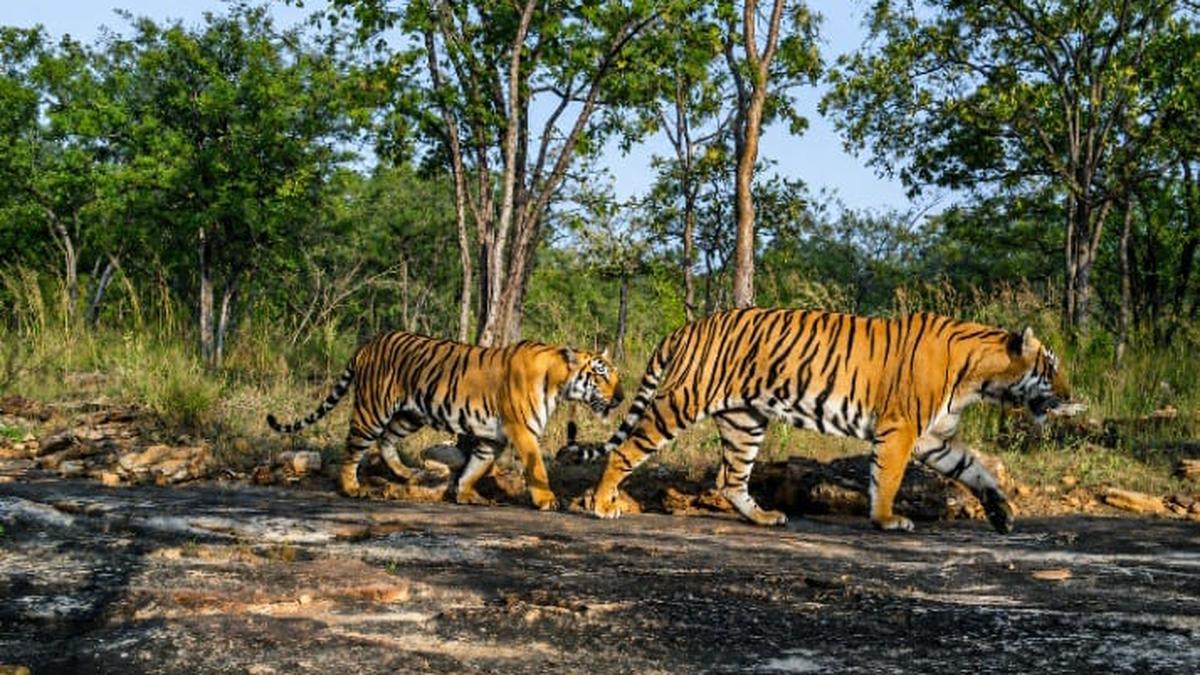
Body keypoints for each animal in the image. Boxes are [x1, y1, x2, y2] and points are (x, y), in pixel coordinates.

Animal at [267, 331, 624, 510]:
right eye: (601, 374)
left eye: (616, 374)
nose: (620, 398)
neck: (559, 382)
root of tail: (367, 345)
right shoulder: (522, 430)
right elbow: (537, 467)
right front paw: (547, 500)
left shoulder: (491, 437)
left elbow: (476, 466)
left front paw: (466, 494)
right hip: (373, 409)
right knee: (354, 448)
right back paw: (352, 487)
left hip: (410, 414)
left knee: (386, 441)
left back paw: (406, 473)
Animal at [563, 308, 1069, 533]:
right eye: (1050, 368)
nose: (1069, 397)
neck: (981, 380)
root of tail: (690, 325)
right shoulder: (901, 429)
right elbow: (886, 478)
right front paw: (887, 520)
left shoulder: (934, 438)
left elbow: (976, 470)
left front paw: (1001, 512)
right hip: (681, 403)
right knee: (626, 450)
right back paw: (603, 502)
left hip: (744, 421)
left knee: (730, 479)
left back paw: (764, 517)